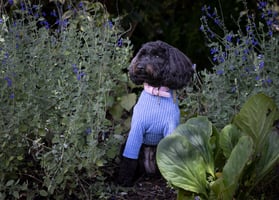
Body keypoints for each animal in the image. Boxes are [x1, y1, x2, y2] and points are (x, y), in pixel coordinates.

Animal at [117, 40, 194, 186]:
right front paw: (123, 179)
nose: (140, 66)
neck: (156, 92)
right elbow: (129, 159)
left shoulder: (170, 128)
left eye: (157, 56)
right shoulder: (136, 129)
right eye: (142, 55)